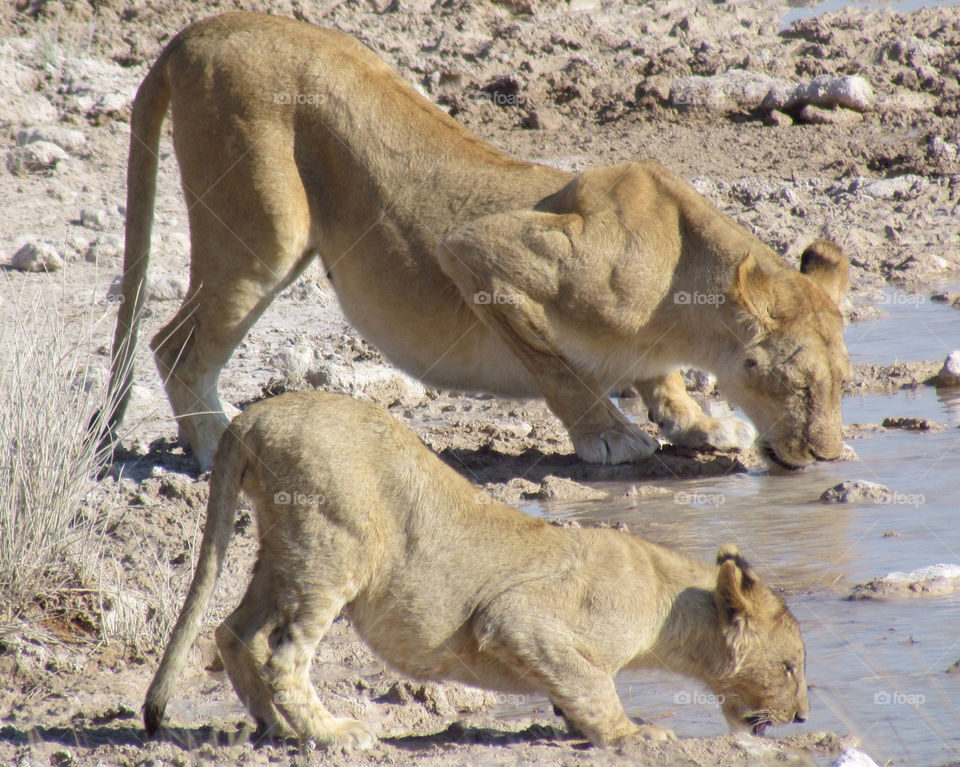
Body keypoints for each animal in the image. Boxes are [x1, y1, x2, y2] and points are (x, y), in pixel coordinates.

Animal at [104, 11, 849, 471]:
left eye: (842, 383)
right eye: (797, 384)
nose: (825, 455)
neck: (684, 293)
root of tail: (202, 29)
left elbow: (658, 378)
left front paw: (697, 422)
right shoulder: (480, 253)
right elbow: (560, 369)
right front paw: (611, 436)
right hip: (264, 232)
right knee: (174, 343)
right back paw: (218, 444)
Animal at [144, 391, 809, 750]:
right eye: (790, 666)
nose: (803, 717)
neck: (669, 601)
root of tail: (254, 415)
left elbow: (571, 687)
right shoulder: (517, 618)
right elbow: (592, 682)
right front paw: (634, 735)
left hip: (282, 553)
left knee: (233, 631)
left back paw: (274, 729)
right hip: (333, 550)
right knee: (285, 656)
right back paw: (332, 733)